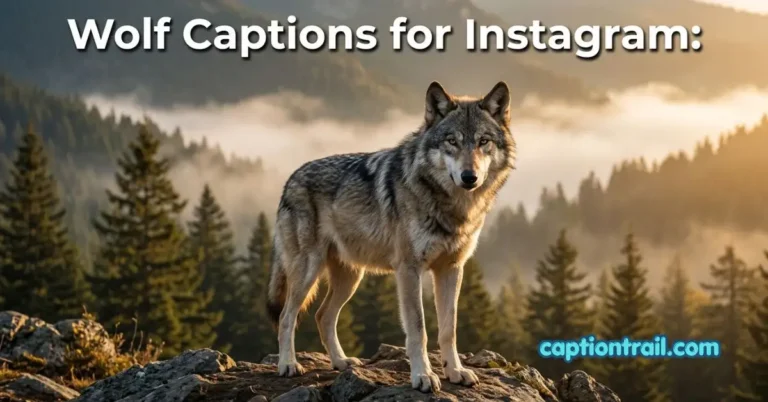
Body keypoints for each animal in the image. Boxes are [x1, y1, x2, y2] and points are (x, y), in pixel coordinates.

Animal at [266, 81, 516, 393]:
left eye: (483, 141)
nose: (469, 177)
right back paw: (288, 365)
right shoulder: (409, 270)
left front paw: (455, 371)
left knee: (323, 316)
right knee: (287, 317)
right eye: (452, 141)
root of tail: (289, 180)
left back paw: (341, 362)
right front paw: (423, 376)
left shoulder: (451, 269)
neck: (451, 205)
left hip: (351, 278)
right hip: (308, 271)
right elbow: (419, 329)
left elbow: (449, 329)